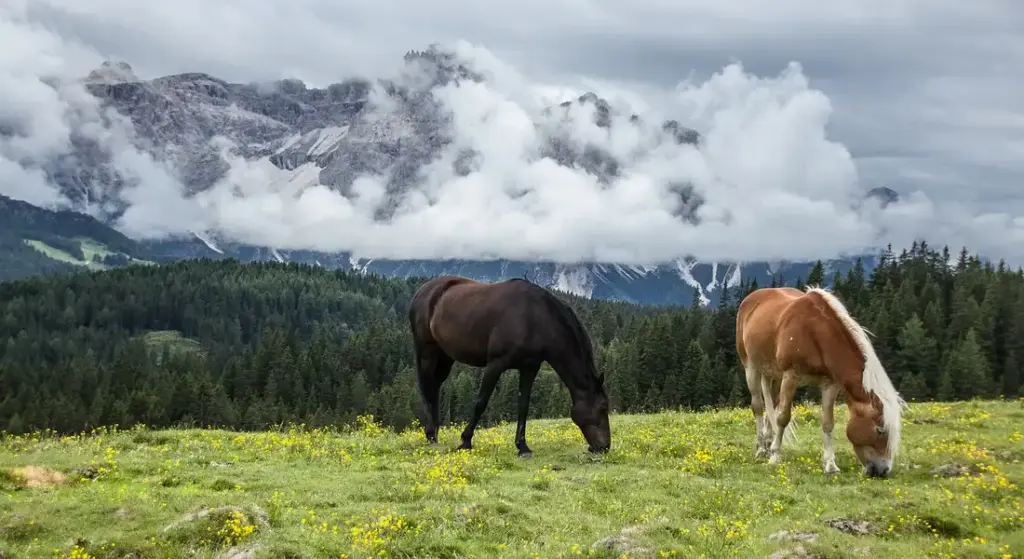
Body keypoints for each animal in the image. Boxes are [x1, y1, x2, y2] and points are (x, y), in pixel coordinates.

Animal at [408, 275, 611, 456]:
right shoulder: (495, 364)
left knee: (435, 387)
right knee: (428, 388)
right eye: (602, 408)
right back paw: (431, 435)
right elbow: (481, 402)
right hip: (427, 352)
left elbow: (523, 405)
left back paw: (435, 434)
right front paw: (465, 441)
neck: (535, 318)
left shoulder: (529, 368)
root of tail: (422, 292)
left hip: (446, 356)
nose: (604, 447)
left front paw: (522, 447)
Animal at [735, 286, 906, 478]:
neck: (815, 333)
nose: (883, 470)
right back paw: (760, 449)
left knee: (771, 403)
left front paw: (831, 465)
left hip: (774, 374)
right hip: (751, 367)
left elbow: (827, 423)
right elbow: (782, 417)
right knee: (758, 406)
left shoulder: (829, 385)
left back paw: (767, 444)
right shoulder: (790, 376)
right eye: (880, 429)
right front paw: (775, 457)